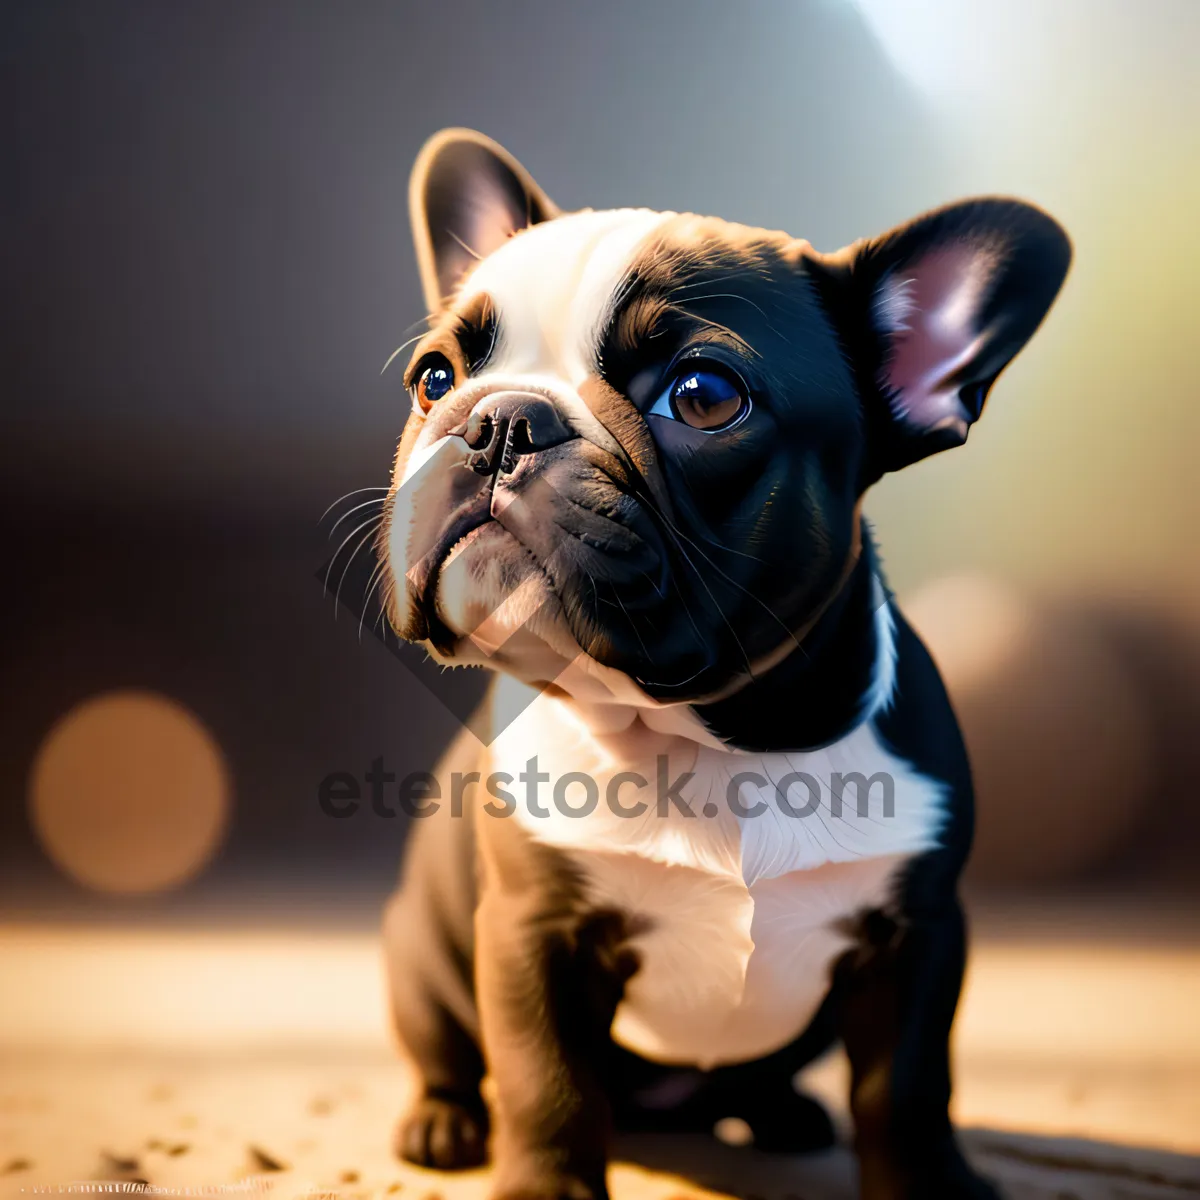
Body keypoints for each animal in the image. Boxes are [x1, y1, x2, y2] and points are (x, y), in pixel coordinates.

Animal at [376, 129, 1070, 1200]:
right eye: (435, 380)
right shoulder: (532, 933)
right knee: (448, 1050)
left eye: (703, 398)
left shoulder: (916, 940)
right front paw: (544, 1186)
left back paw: (781, 1114)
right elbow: (546, 1082)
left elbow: (909, 1089)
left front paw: (930, 1183)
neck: (709, 739)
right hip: (420, 953)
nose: (499, 421)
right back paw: (442, 1124)